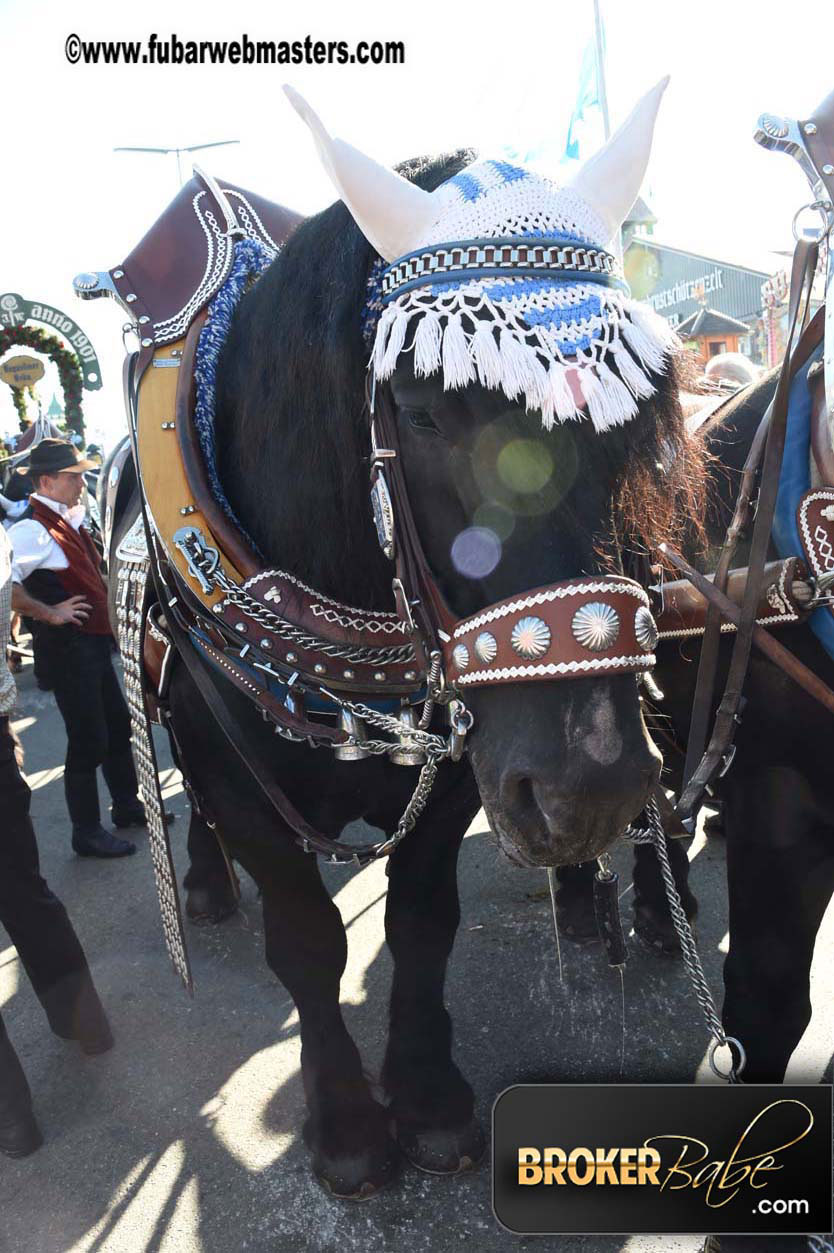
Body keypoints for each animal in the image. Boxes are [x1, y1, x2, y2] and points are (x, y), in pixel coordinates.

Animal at [103, 151, 701, 1197]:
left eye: (635, 429)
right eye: (424, 413)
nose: (595, 789)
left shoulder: (467, 768)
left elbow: (424, 919)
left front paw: (426, 1098)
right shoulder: (241, 783)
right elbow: (308, 940)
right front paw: (346, 1123)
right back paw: (207, 883)